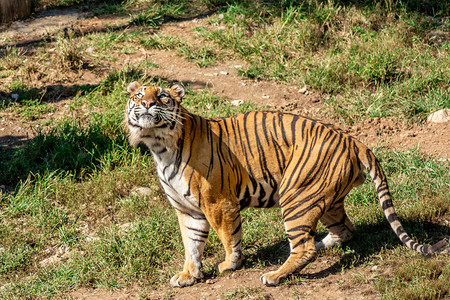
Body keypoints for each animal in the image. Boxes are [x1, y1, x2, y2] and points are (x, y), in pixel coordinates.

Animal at [125, 81, 448, 286]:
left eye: (162, 96)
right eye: (139, 95)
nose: (147, 103)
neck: (160, 145)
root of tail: (352, 139)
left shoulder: (218, 203)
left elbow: (228, 237)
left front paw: (229, 265)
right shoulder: (187, 210)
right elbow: (191, 245)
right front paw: (188, 275)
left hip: (296, 196)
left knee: (305, 248)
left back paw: (275, 276)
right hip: (326, 199)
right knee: (344, 229)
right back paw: (317, 244)